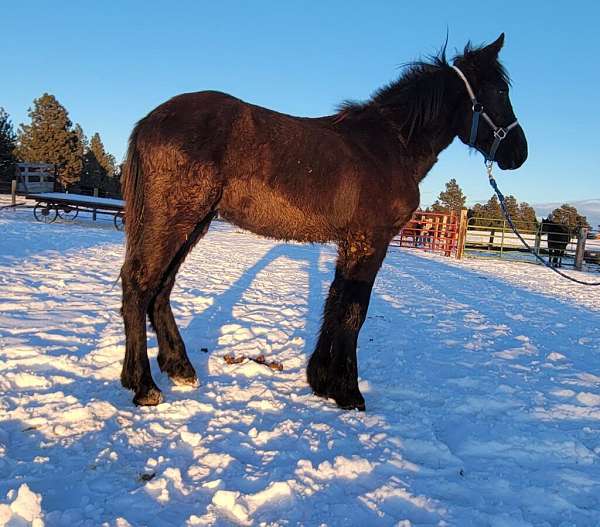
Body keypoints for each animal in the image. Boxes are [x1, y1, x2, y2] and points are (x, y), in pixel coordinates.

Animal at [119, 35, 528, 410]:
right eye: (500, 90)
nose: (519, 153)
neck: (390, 145)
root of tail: (150, 120)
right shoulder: (370, 242)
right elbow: (354, 311)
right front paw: (348, 392)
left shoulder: (351, 244)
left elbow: (337, 304)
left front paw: (321, 380)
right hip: (174, 219)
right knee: (138, 283)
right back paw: (143, 385)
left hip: (195, 223)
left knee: (161, 287)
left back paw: (180, 368)